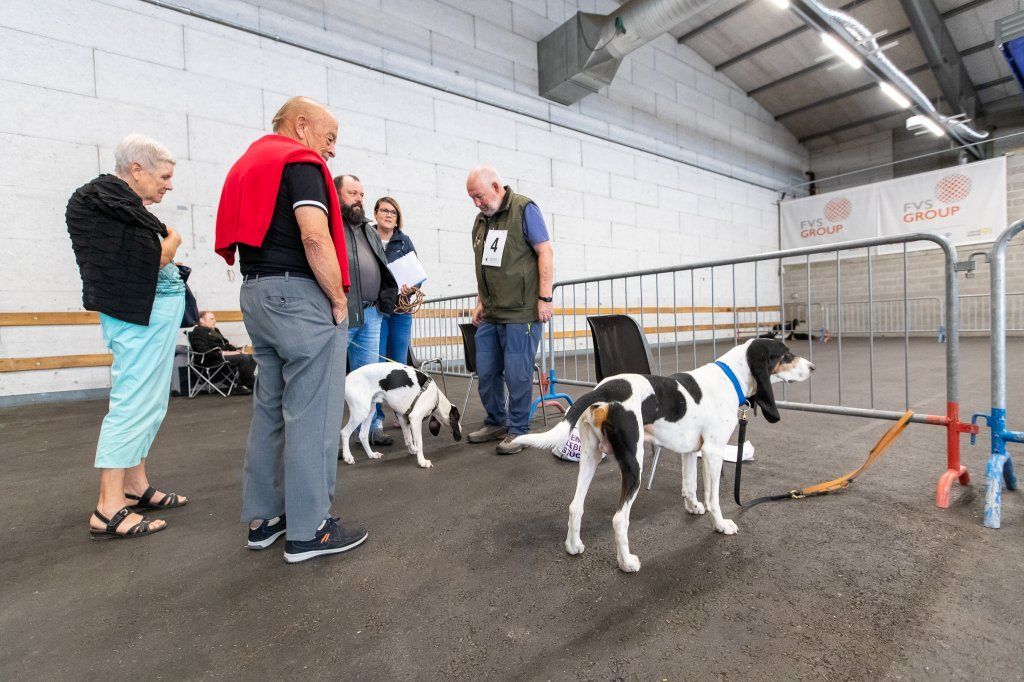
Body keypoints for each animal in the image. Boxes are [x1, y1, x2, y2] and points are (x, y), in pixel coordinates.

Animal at [512, 337, 815, 569]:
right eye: (786, 355)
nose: (812, 367)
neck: (730, 378)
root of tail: (603, 390)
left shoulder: (691, 451)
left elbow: (689, 486)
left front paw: (693, 508)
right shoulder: (713, 452)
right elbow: (714, 498)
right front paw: (720, 525)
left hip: (591, 457)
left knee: (576, 505)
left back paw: (573, 546)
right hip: (634, 465)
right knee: (619, 519)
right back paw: (627, 563)